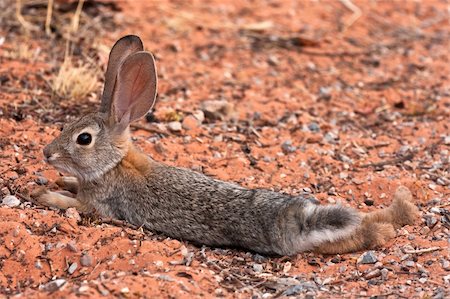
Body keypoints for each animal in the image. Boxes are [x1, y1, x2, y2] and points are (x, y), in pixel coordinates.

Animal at [33, 35, 420, 255]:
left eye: (83, 139)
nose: (47, 153)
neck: (113, 164)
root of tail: (297, 218)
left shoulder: (100, 205)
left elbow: (77, 205)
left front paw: (46, 195)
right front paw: (61, 180)